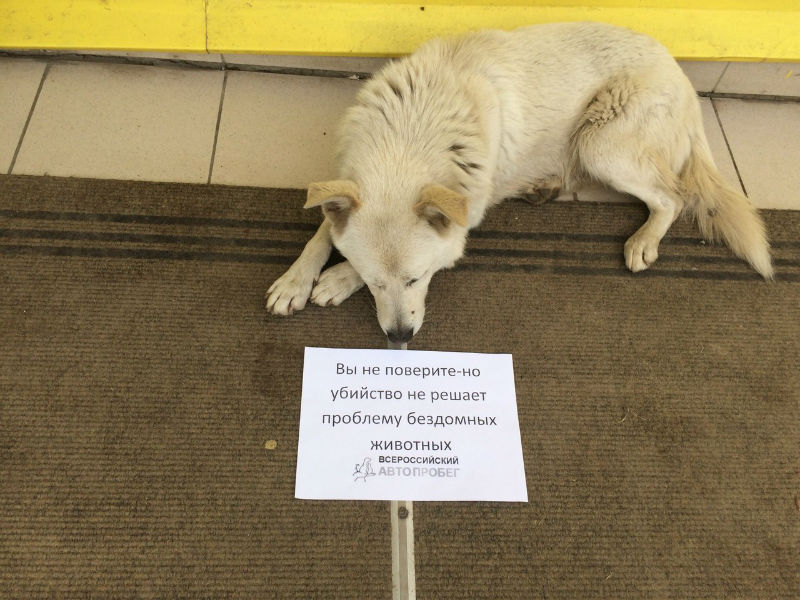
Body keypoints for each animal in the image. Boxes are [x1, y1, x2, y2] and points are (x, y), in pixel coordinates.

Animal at [266, 22, 773, 344]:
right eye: (374, 282)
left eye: (418, 277)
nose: (399, 337)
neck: (410, 133)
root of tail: (685, 79)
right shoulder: (345, 182)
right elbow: (321, 232)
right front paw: (295, 281)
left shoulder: (462, 215)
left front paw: (335, 279)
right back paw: (543, 186)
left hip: (600, 142)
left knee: (672, 196)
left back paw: (643, 241)